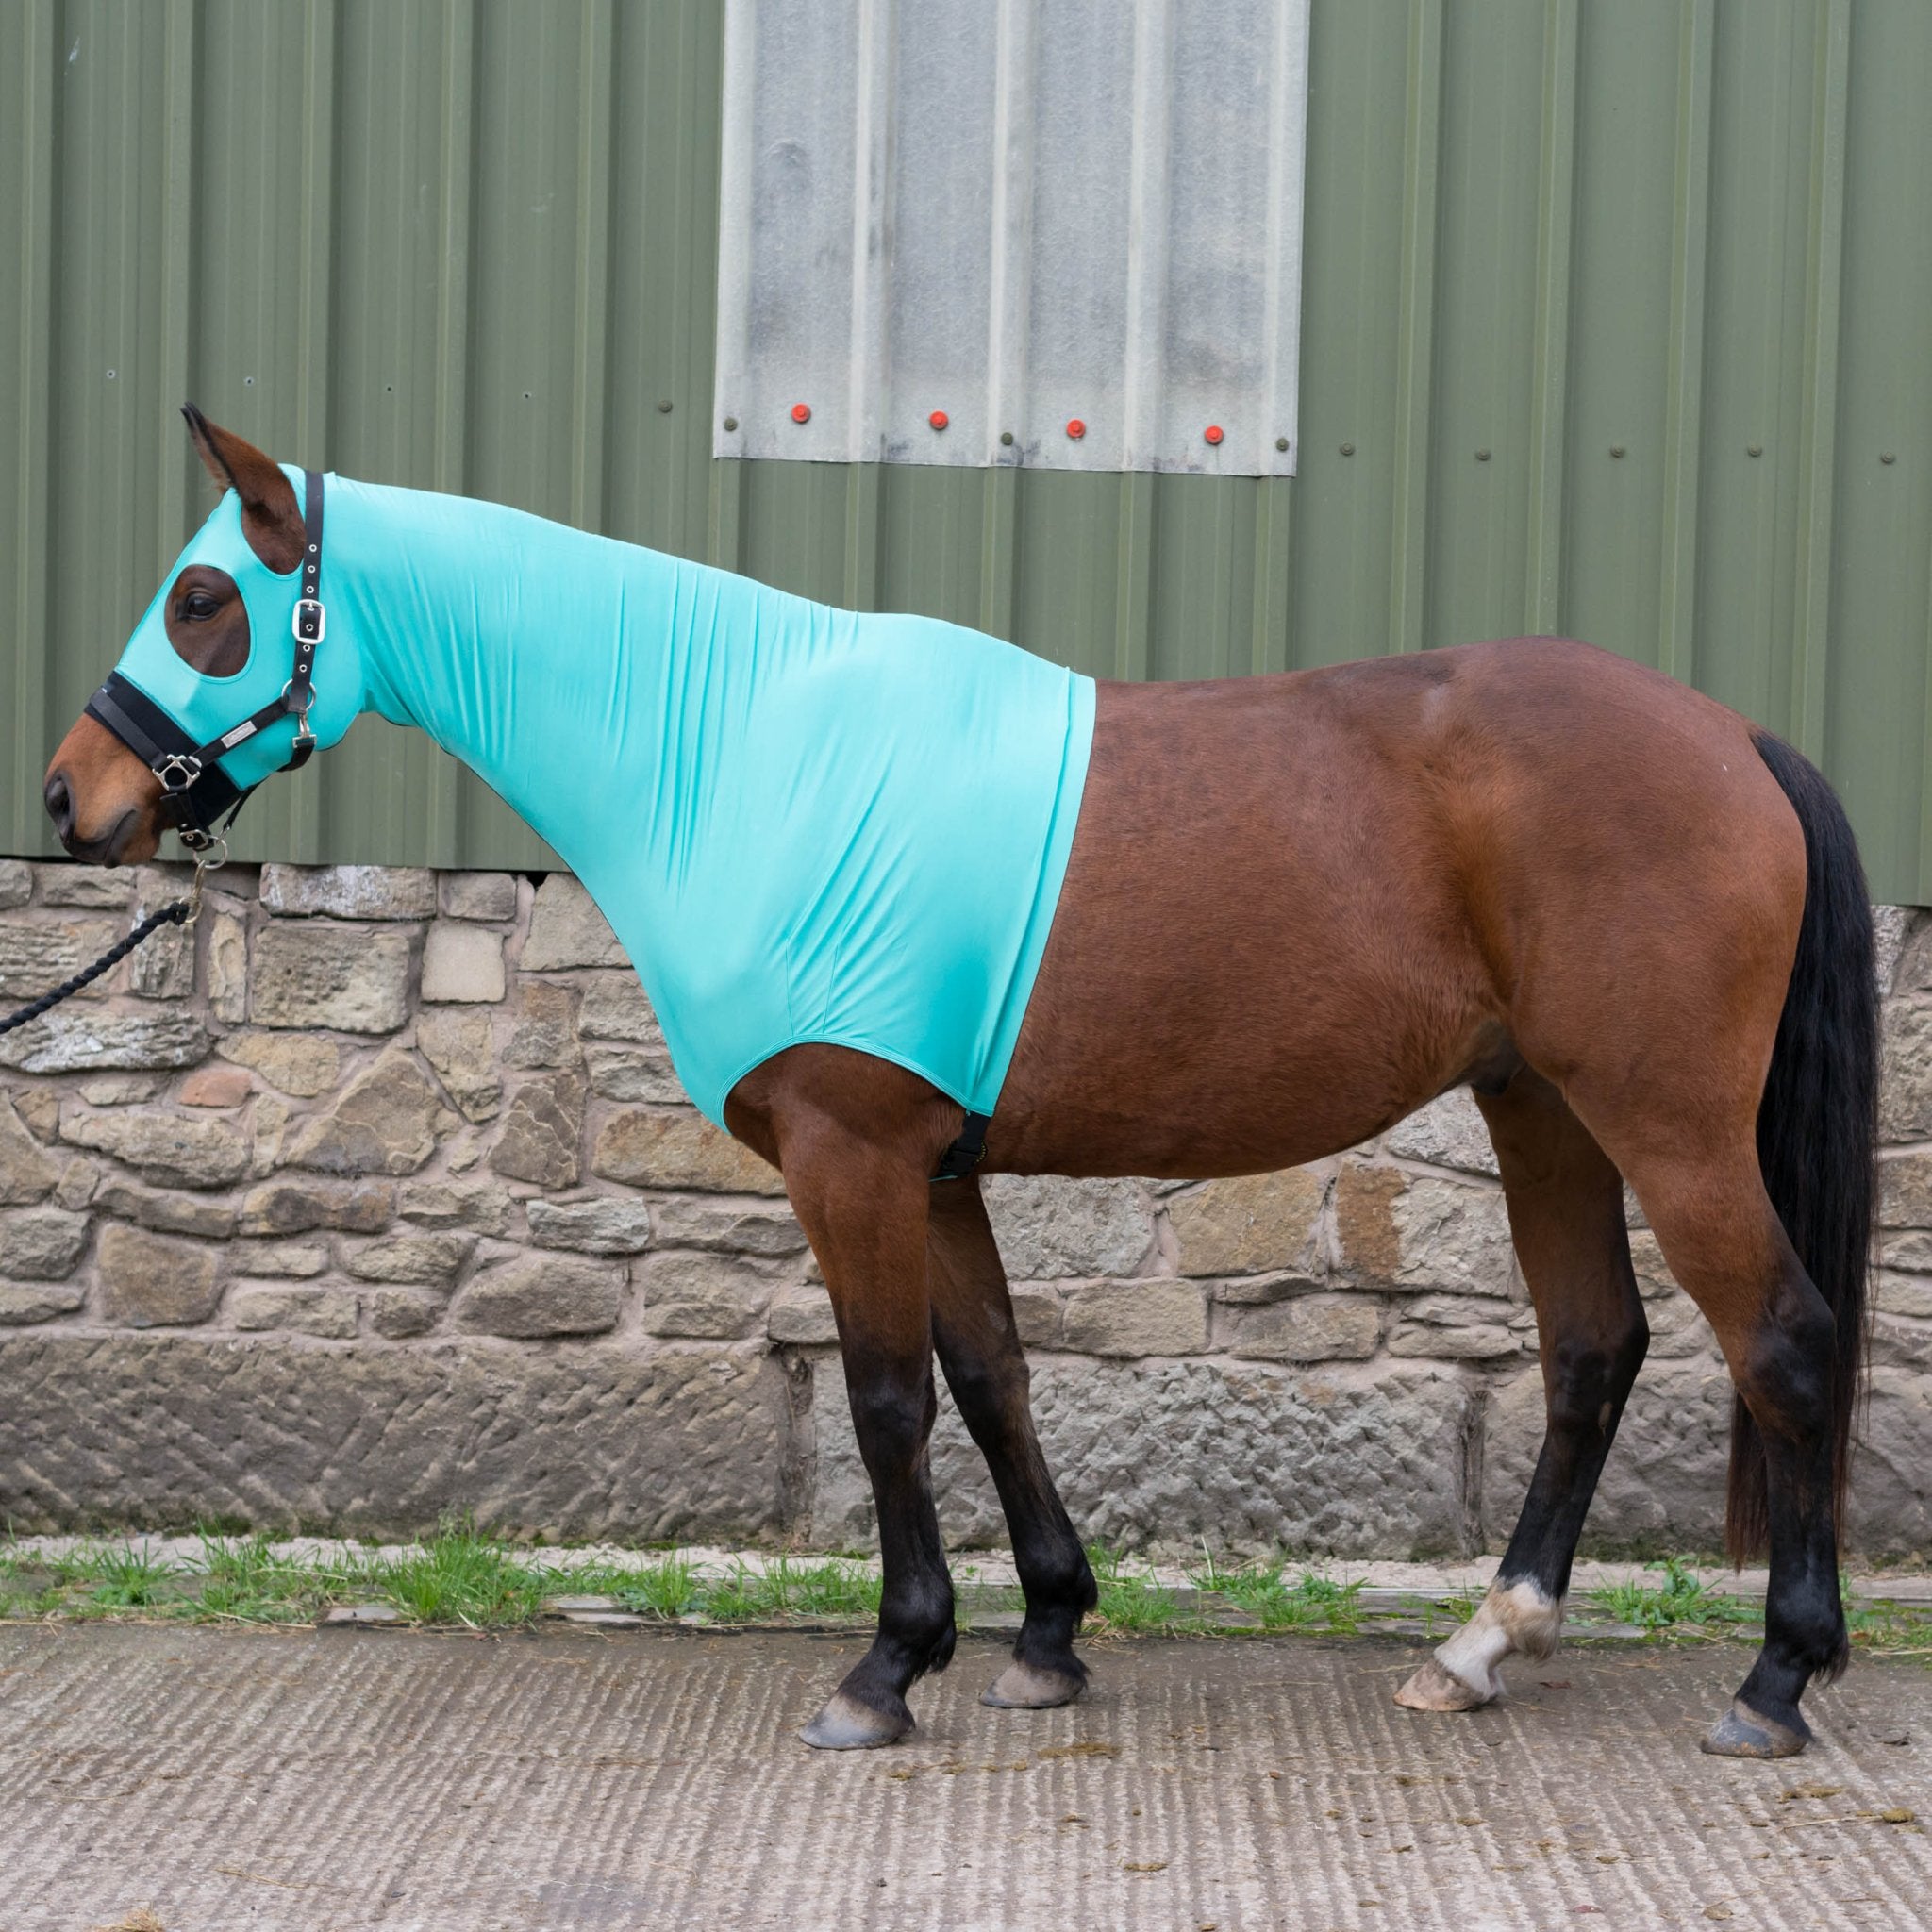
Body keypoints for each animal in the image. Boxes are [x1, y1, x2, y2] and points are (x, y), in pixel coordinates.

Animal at [44, 407, 1875, 1761]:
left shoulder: (847, 1152)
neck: (742, 749)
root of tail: (1732, 736)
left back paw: (1775, 1682)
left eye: (204, 596)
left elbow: (884, 1396)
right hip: (1540, 1107)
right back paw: (1486, 1642)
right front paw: (1047, 1634)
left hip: (1661, 1123)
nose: (73, 798)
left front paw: (886, 1668)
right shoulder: (933, 1166)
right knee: (1591, 1350)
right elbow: (990, 1373)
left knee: (1780, 1340)